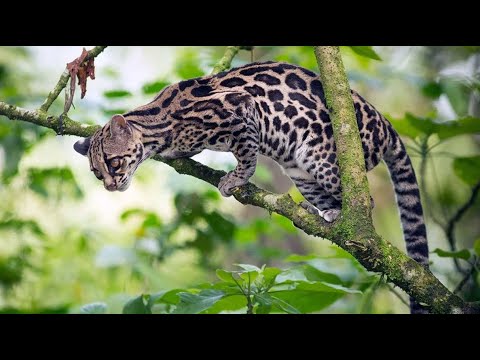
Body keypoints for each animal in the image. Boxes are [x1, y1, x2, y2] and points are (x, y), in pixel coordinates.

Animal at [74, 61, 428, 312]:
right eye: (96, 173)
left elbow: (247, 154)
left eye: (114, 163)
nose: (110, 187)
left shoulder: (240, 110)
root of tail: (385, 125)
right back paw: (327, 213)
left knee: (363, 201)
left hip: (321, 155)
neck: (161, 122)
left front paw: (235, 178)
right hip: (300, 170)